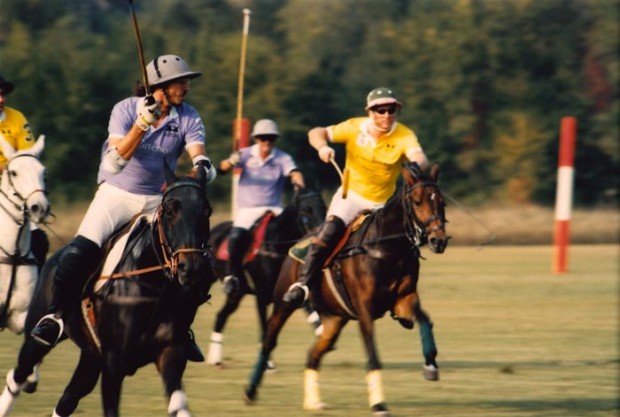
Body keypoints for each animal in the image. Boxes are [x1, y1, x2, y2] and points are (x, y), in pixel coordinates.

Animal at [0, 167, 216, 416]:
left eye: (207, 211)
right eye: (170, 210)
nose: (192, 269)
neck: (153, 288)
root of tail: (54, 256)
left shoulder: (172, 351)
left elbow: (178, 404)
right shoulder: (113, 363)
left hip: (91, 355)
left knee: (68, 398)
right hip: (36, 336)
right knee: (18, 375)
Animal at [205, 187, 330, 366]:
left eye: (324, 207)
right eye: (306, 210)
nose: (322, 236)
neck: (276, 245)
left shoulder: (290, 288)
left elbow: (308, 308)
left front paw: (322, 333)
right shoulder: (262, 296)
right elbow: (265, 329)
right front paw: (268, 363)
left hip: (237, 293)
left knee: (221, 316)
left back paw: (214, 359)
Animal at [243, 162, 450, 416]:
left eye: (442, 202)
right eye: (418, 201)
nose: (438, 241)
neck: (386, 248)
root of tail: (299, 242)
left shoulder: (404, 299)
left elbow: (424, 320)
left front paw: (430, 365)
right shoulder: (364, 309)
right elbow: (372, 354)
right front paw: (379, 404)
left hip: (333, 319)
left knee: (313, 354)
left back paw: (313, 402)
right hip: (283, 302)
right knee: (269, 341)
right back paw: (250, 390)